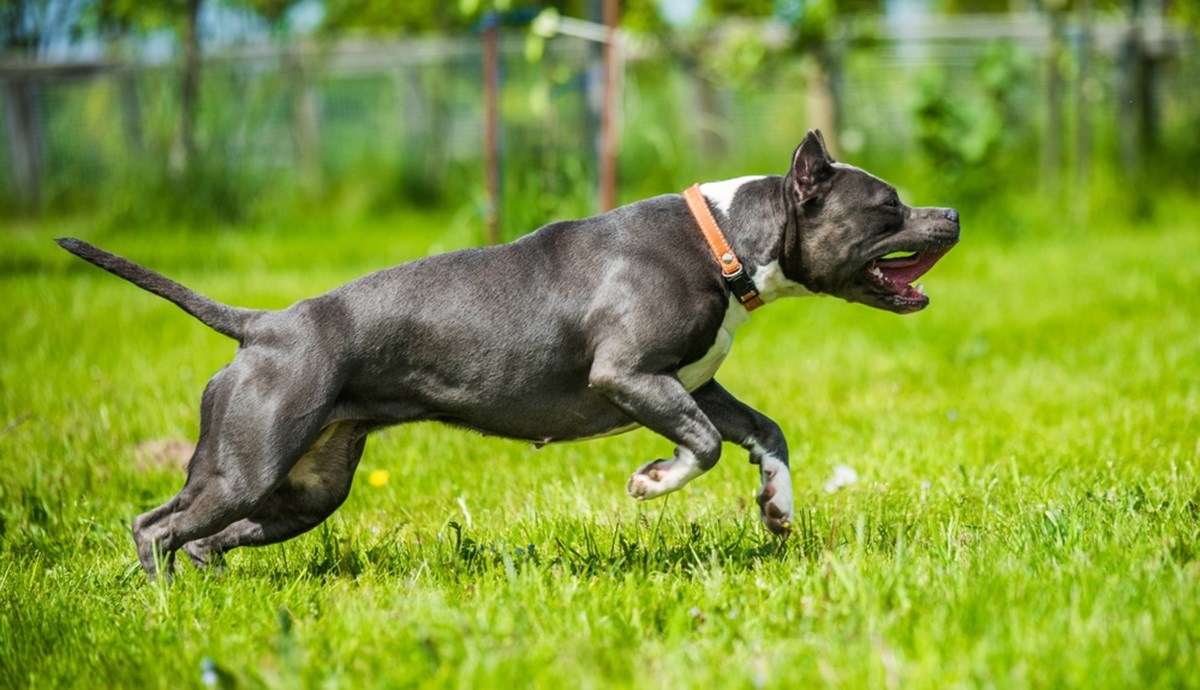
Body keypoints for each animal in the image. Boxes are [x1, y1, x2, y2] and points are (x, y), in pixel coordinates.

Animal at [56, 129, 960, 578]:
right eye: (888, 208)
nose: (950, 214)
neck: (726, 242)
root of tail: (264, 326)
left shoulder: (696, 381)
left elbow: (765, 432)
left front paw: (776, 506)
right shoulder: (631, 376)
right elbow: (701, 444)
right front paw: (651, 481)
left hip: (304, 489)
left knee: (205, 537)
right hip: (246, 464)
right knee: (154, 525)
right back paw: (163, 604)